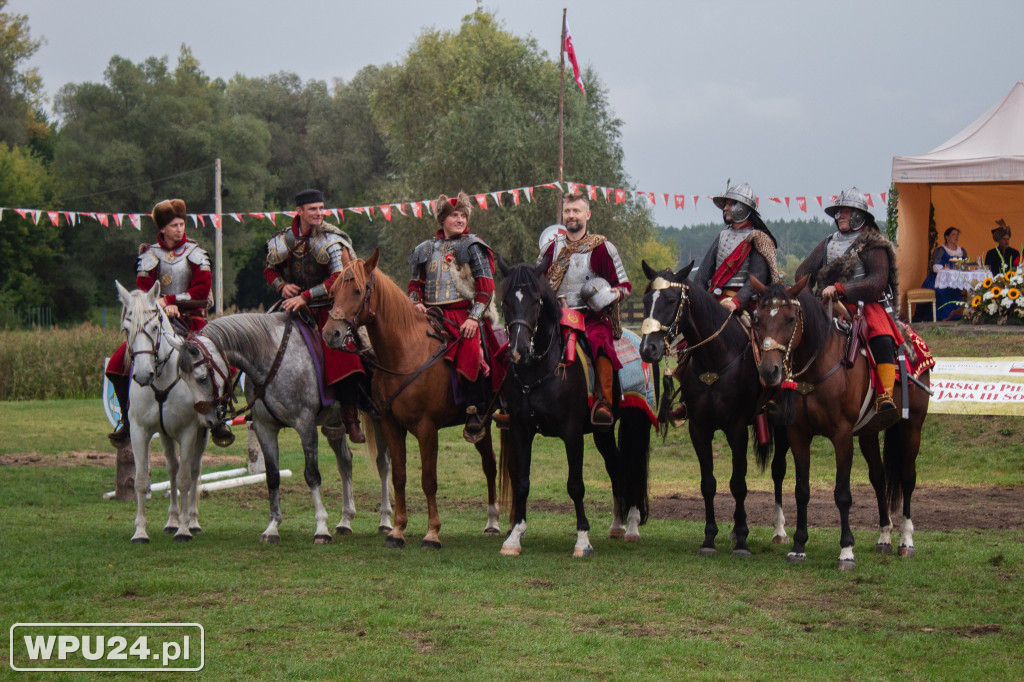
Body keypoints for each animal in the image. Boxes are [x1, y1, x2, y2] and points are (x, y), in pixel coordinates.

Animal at [116, 280, 207, 540]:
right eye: (126, 329)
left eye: (155, 327)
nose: (141, 375)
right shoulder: (139, 431)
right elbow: (140, 480)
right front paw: (140, 532)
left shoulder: (188, 431)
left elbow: (186, 480)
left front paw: (184, 530)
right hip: (165, 434)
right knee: (172, 469)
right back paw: (172, 521)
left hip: (201, 434)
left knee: (193, 470)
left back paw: (192, 521)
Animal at [178, 311, 389, 540]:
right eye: (184, 379)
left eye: (202, 378)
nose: (206, 419)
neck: (271, 357)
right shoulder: (265, 428)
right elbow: (272, 476)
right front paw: (272, 527)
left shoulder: (305, 425)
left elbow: (312, 475)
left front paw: (321, 528)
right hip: (335, 422)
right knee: (345, 461)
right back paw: (345, 520)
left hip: (380, 419)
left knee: (383, 464)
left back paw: (385, 520)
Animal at [317, 245, 497, 548]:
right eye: (333, 292)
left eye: (357, 291)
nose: (331, 333)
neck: (404, 354)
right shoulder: (391, 424)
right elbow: (399, 476)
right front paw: (397, 531)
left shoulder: (427, 428)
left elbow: (428, 479)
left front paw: (432, 533)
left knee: (491, 466)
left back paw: (494, 523)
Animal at [493, 258, 647, 557]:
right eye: (505, 301)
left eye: (536, 301)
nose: (518, 350)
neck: (539, 368)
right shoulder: (519, 428)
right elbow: (522, 483)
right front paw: (514, 536)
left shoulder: (572, 432)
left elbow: (575, 485)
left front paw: (582, 540)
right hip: (602, 431)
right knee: (617, 466)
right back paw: (617, 524)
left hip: (636, 421)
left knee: (633, 466)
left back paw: (633, 527)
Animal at [749, 274, 933, 569]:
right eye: (759, 318)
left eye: (790, 319)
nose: (769, 371)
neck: (817, 366)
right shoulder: (798, 433)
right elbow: (802, 489)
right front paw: (799, 546)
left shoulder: (842, 435)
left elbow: (842, 494)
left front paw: (846, 550)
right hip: (869, 432)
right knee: (879, 478)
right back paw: (884, 537)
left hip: (912, 426)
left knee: (907, 478)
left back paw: (906, 540)